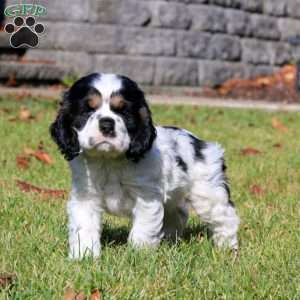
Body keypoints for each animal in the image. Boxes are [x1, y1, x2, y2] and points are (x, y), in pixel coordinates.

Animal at [50, 72, 240, 258]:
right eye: (87, 110)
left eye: (124, 111)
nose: (106, 124)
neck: (108, 160)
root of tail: (202, 143)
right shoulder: (85, 197)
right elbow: (84, 227)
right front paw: (84, 255)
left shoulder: (146, 197)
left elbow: (143, 229)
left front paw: (138, 254)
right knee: (179, 214)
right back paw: (169, 240)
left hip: (208, 193)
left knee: (226, 218)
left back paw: (228, 248)